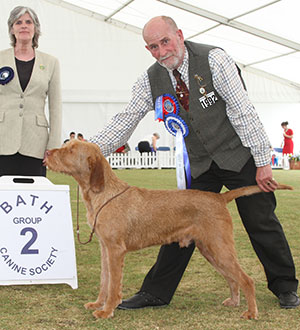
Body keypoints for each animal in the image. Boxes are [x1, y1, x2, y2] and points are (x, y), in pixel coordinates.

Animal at [44, 139, 292, 320]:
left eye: (70, 149)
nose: (46, 153)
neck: (104, 194)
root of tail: (219, 197)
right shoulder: (105, 249)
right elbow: (105, 281)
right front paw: (98, 303)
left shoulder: (115, 250)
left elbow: (114, 285)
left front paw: (107, 310)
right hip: (210, 250)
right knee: (233, 278)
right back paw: (234, 301)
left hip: (219, 247)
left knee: (247, 279)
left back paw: (251, 312)